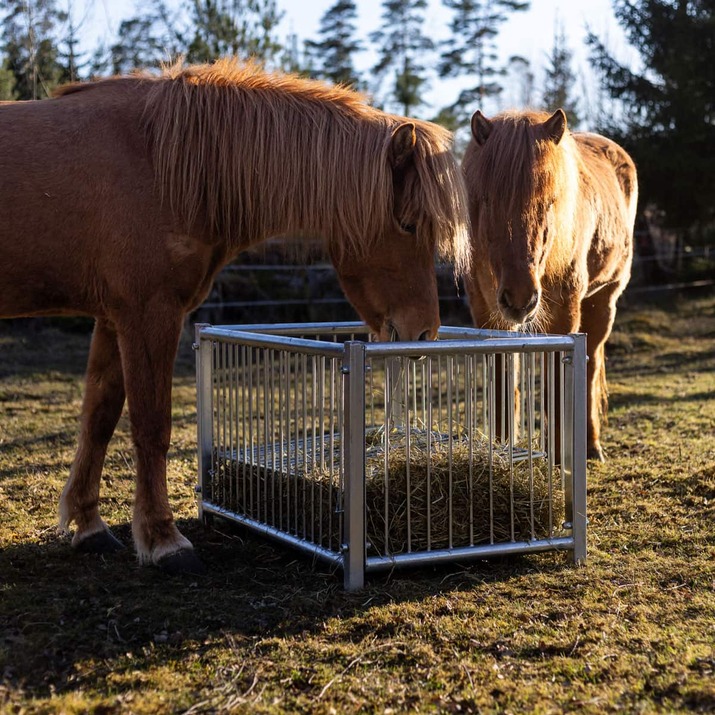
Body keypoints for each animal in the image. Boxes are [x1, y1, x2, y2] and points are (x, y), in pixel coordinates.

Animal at [0, 58, 471, 573]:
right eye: (407, 224)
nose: (424, 333)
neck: (160, 161)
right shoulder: (148, 312)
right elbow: (151, 426)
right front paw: (163, 539)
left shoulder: (112, 317)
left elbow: (99, 419)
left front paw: (88, 526)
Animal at [462, 108, 637, 462]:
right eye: (487, 200)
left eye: (549, 202)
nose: (519, 297)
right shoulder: (487, 314)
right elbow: (503, 378)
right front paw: (501, 447)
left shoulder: (562, 314)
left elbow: (559, 379)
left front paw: (558, 455)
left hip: (603, 300)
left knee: (590, 365)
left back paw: (591, 445)